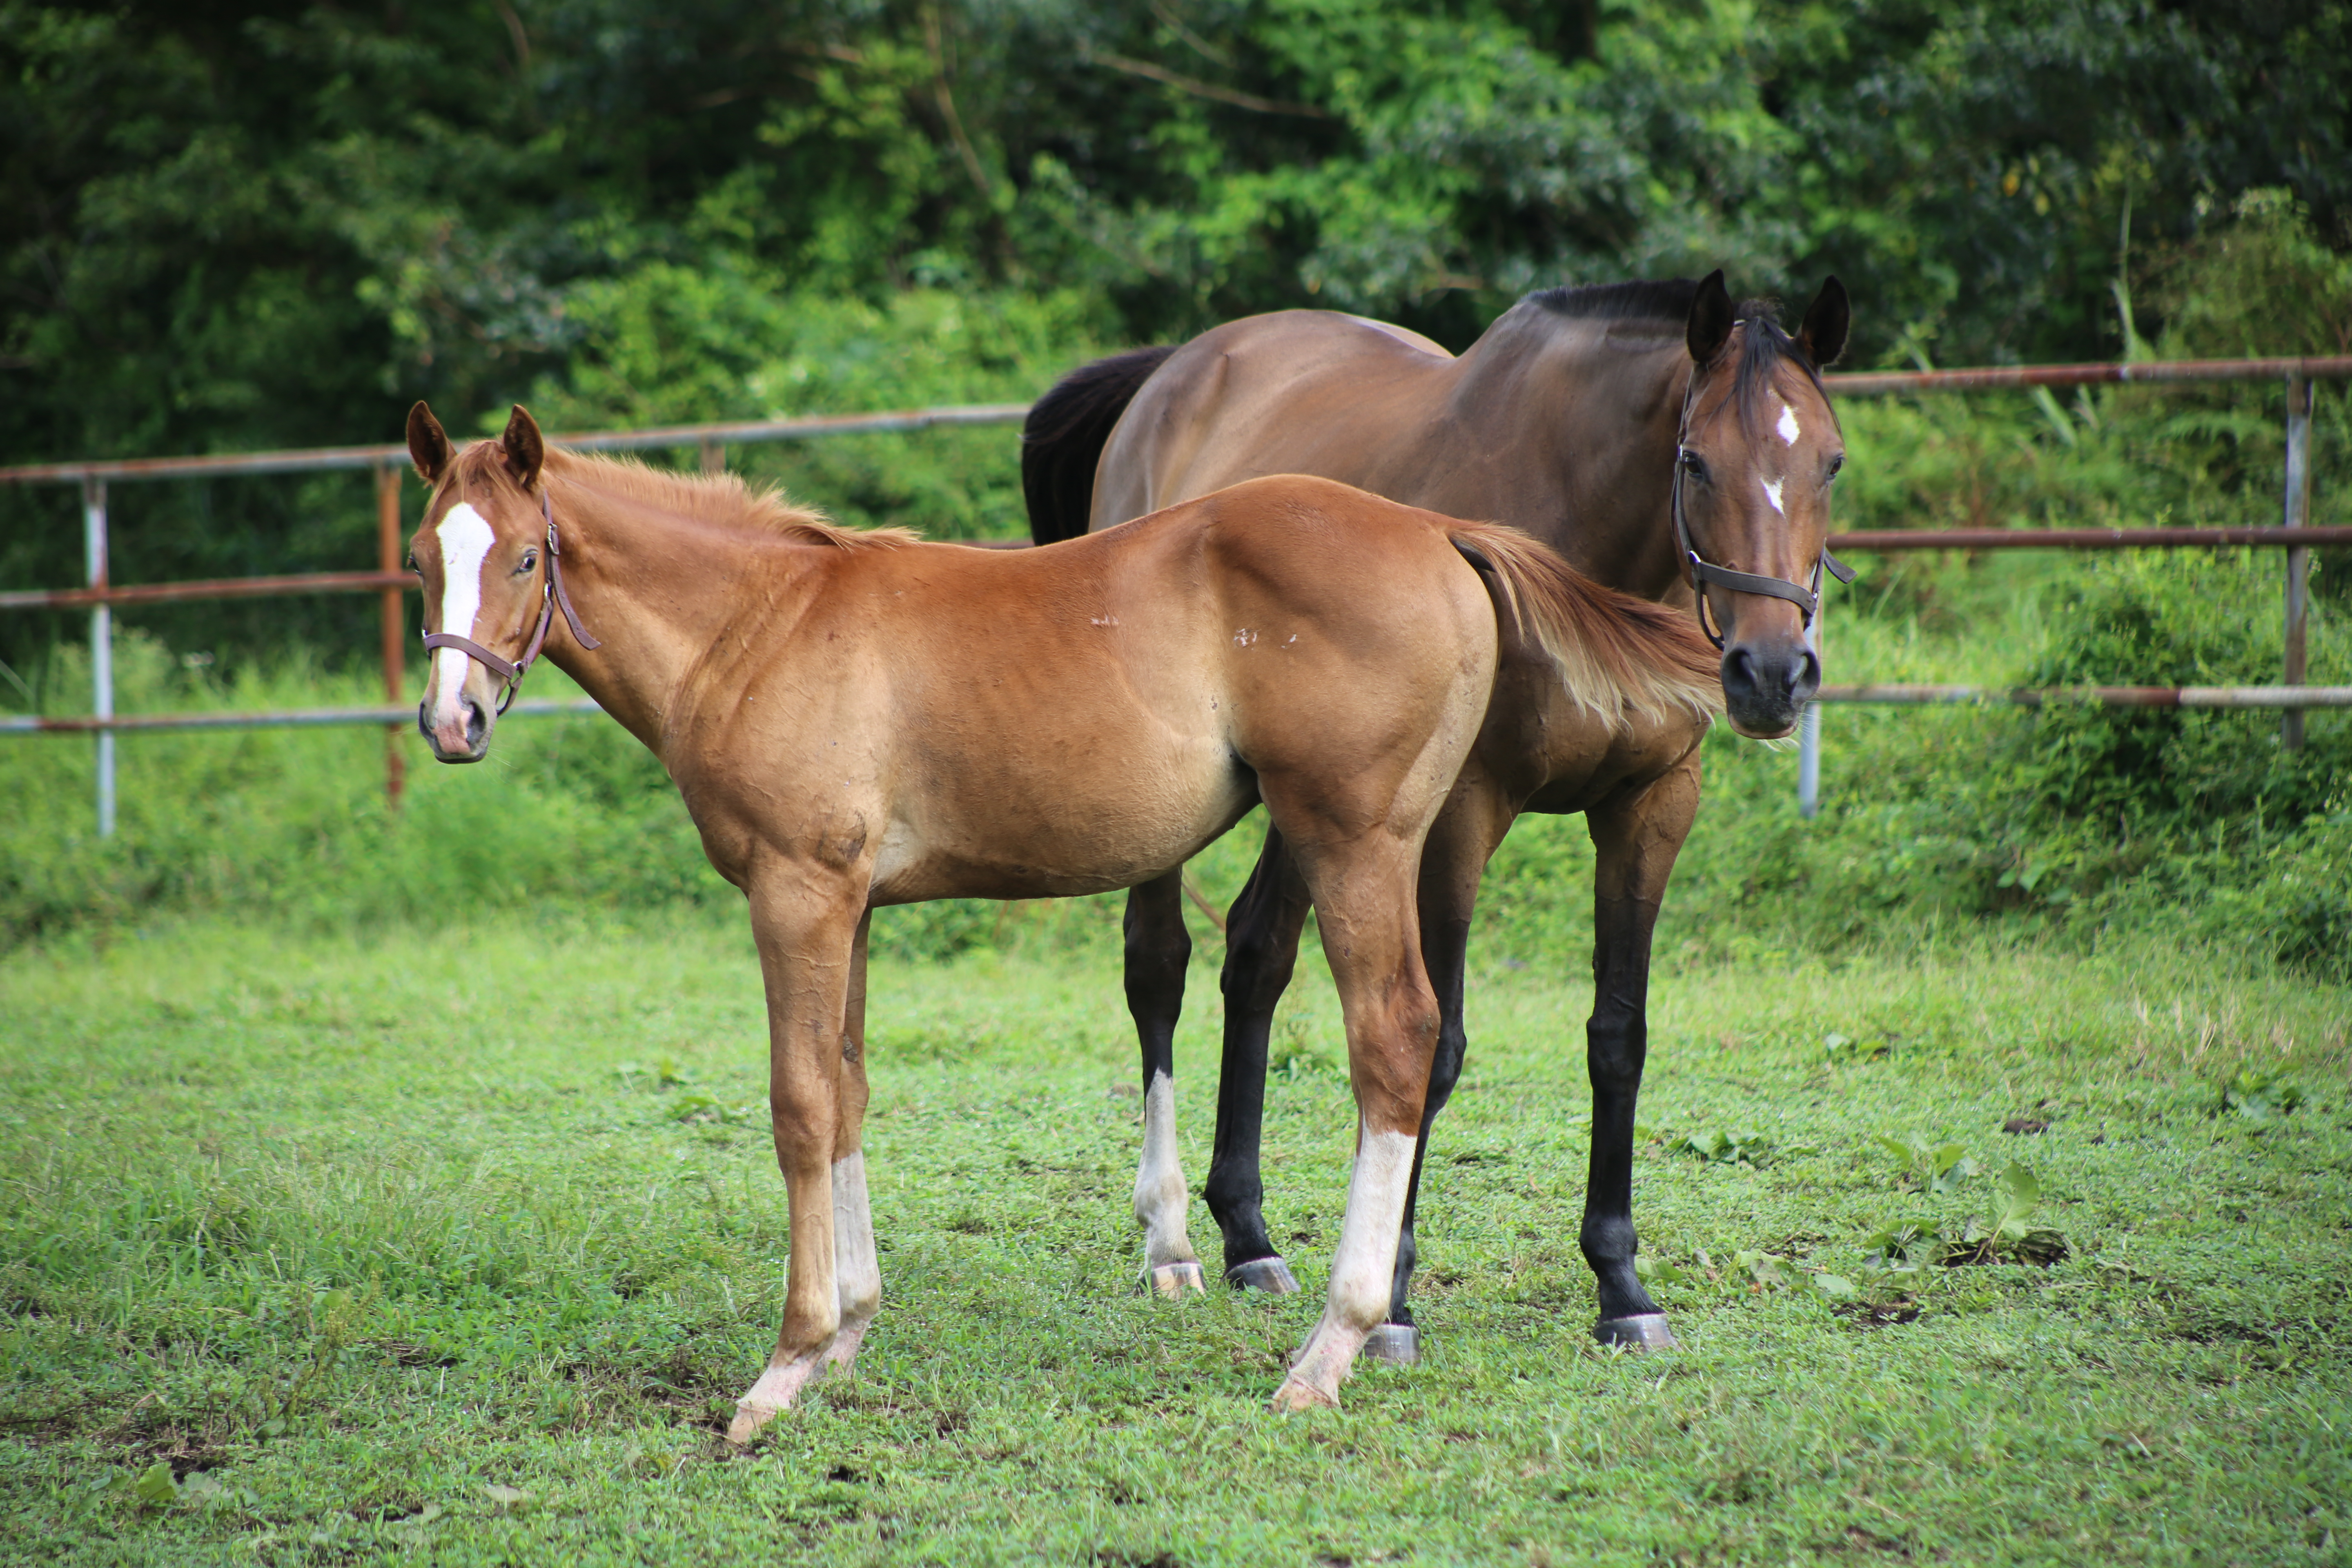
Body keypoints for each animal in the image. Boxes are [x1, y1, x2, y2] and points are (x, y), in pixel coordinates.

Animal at [404, 402, 1712, 1439]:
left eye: (527, 557)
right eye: (423, 557)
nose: (452, 722)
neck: (762, 623)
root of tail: (1437, 528)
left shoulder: (796, 893)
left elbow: (796, 1106)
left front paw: (784, 1367)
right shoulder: (852, 905)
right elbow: (848, 1091)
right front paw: (850, 1335)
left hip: (1359, 840)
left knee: (1394, 1043)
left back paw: (1331, 1351)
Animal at [1020, 276, 1844, 1354]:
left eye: (1830, 460)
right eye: (1694, 459)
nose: (1772, 674)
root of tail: (1172, 376)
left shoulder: (1650, 809)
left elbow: (1617, 1038)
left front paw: (1621, 1286)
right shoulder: (1460, 814)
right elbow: (1439, 1044)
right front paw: (1395, 1300)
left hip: (1318, 801)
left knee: (1257, 956)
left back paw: (1248, 1234)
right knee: (1159, 967)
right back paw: (1171, 1239)